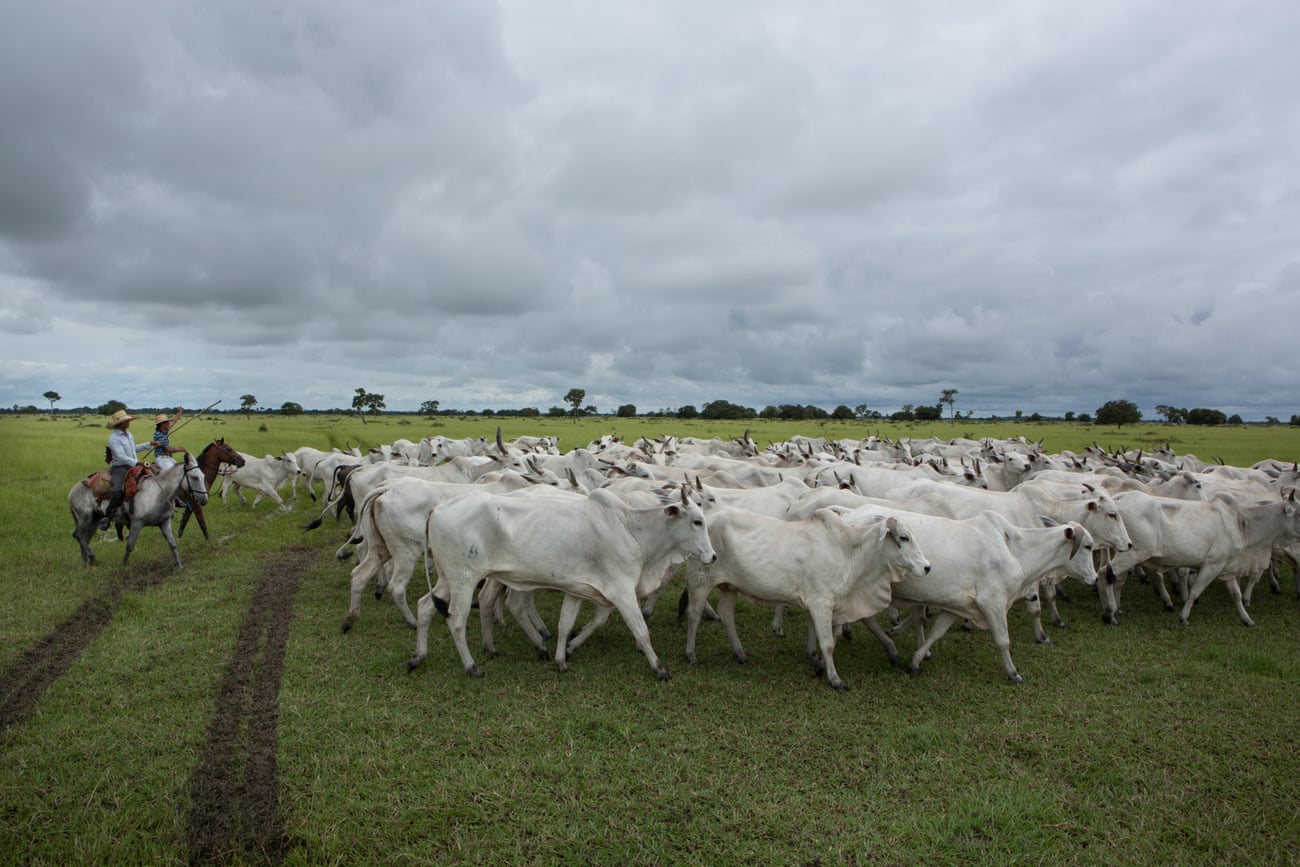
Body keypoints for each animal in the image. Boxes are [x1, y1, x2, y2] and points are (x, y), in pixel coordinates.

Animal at [68, 454, 209, 569]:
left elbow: (172, 543)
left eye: (203, 476)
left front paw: (179, 565)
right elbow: (130, 545)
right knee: (79, 536)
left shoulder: (164, 522)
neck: (156, 494)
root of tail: (71, 492)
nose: (204, 500)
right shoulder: (136, 523)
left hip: (95, 520)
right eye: (195, 477)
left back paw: (86, 563)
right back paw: (91, 557)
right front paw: (123, 565)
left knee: (85, 538)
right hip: (85, 518)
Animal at [405, 488, 717, 675]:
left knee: (425, 606)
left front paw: (561, 658)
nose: (713, 556)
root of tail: (439, 508)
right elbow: (641, 630)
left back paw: (418, 656)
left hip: (447, 578)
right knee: (456, 619)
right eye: (697, 521)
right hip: (463, 579)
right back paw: (471, 666)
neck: (631, 529)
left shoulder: (578, 589)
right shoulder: (622, 591)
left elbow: (566, 624)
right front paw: (658, 667)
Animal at [676, 509, 930, 691]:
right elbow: (828, 643)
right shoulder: (822, 603)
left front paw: (816, 662)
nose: (927, 567)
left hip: (731, 587)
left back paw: (740, 654)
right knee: (694, 614)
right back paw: (691, 654)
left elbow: (817, 636)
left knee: (727, 614)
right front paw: (835, 680)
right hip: (700, 581)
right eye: (904, 538)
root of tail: (709, 517)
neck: (848, 550)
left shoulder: (818, 604)